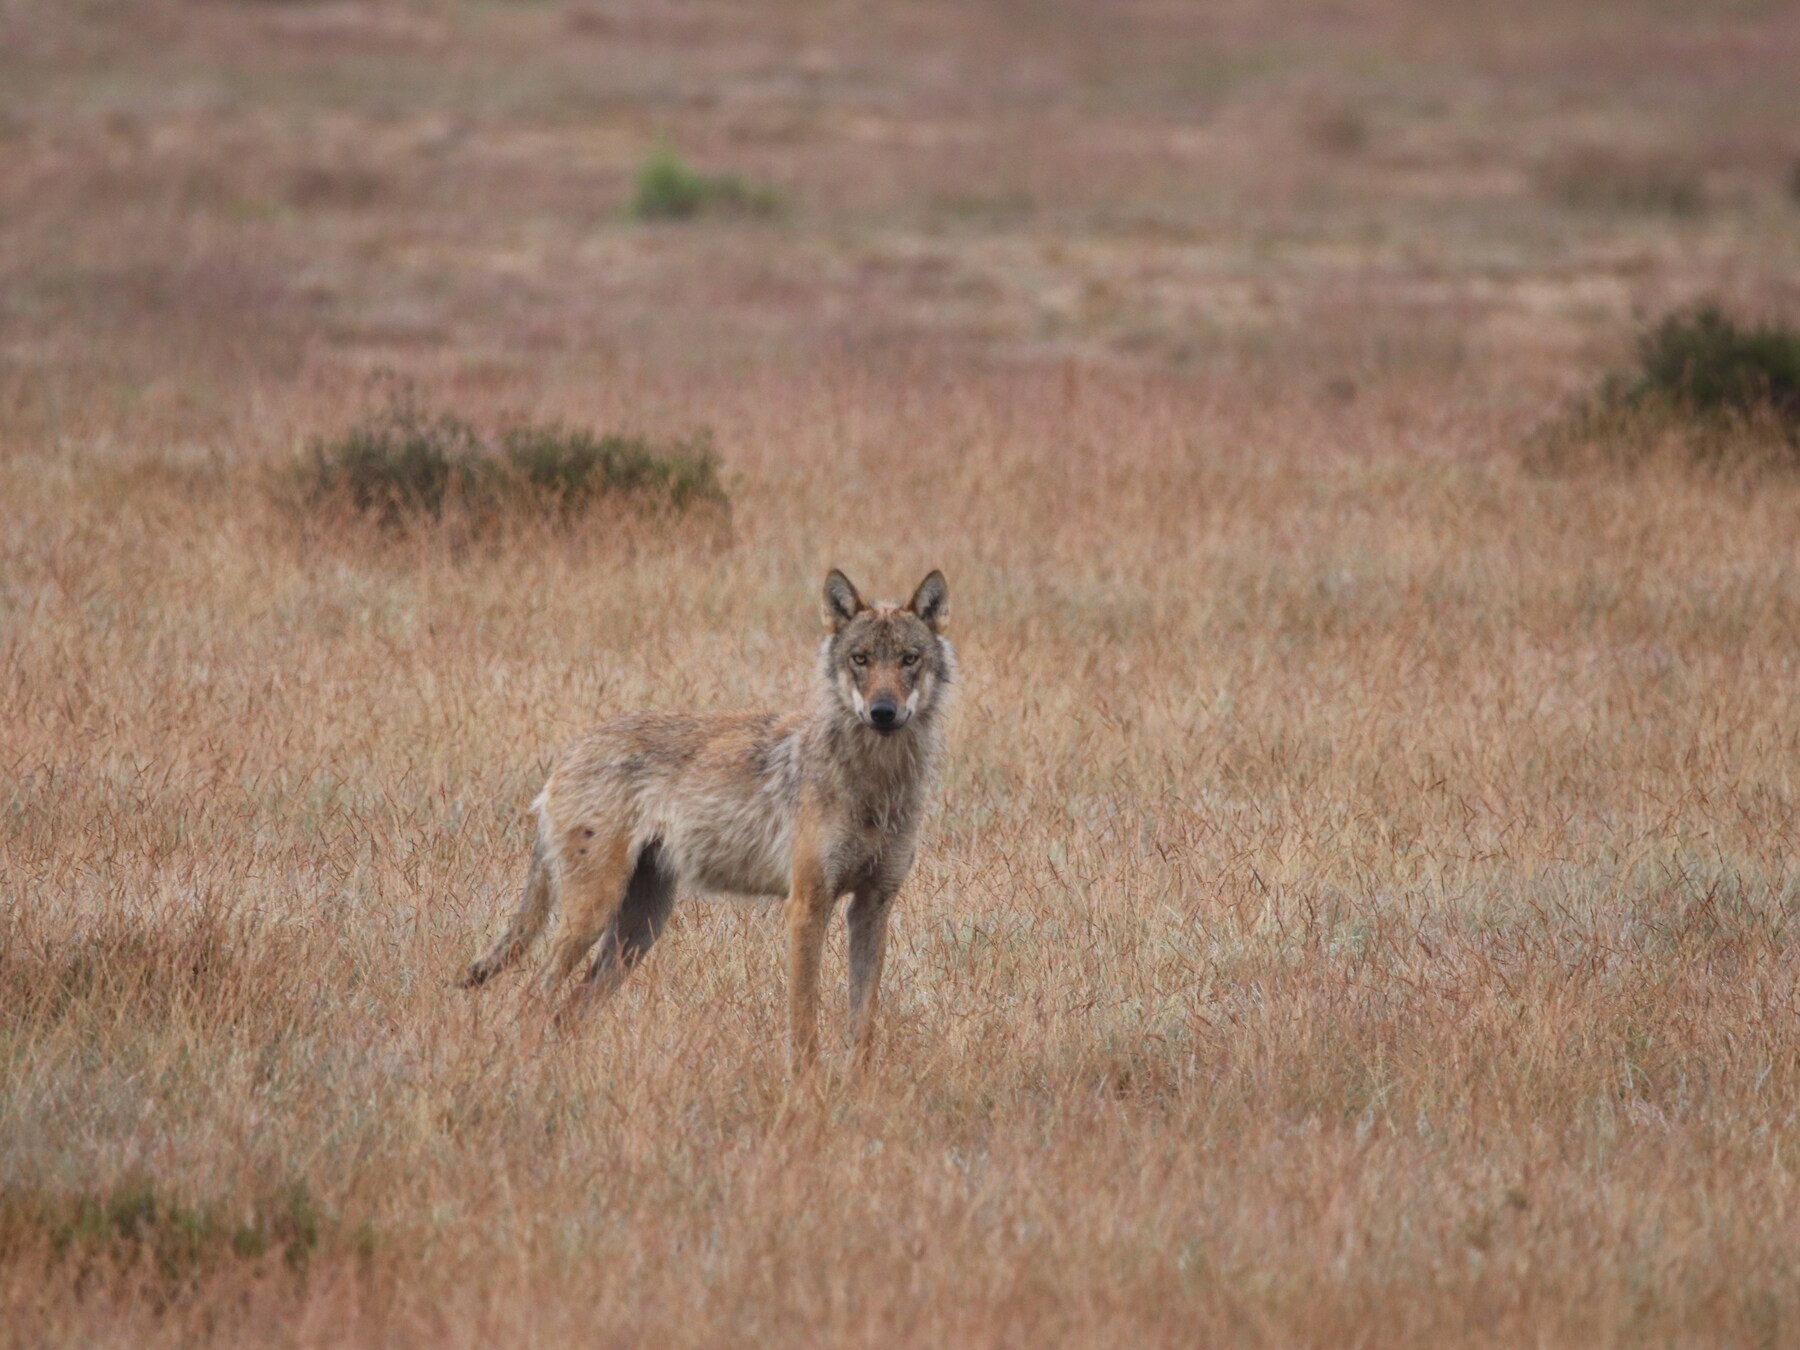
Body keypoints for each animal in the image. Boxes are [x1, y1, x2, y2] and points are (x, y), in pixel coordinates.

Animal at [462, 568, 954, 1069]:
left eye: (909, 659)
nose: (883, 712)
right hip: (594, 917)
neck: (877, 783)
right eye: (861, 659)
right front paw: (805, 1085)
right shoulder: (807, 905)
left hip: (638, 930)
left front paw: (857, 1083)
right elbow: (804, 1021)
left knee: (567, 1011)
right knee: (531, 998)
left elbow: (863, 1023)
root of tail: (568, 753)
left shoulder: (872, 906)